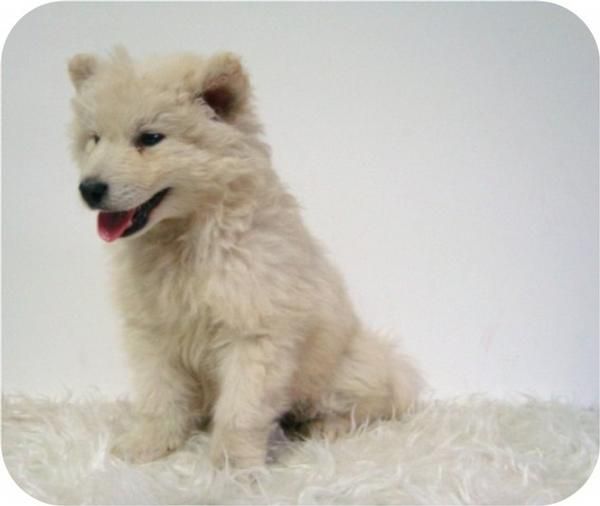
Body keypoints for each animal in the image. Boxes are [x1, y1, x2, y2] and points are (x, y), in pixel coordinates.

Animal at [68, 47, 422, 466]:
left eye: (150, 138)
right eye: (94, 139)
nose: (89, 189)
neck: (185, 236)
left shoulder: (254, 334)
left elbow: (241, 411)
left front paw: (233, 465)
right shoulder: (153, 332)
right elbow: (159, 396)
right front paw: (149, 444)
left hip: (344, 372)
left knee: (371, 406)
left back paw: (322, 427)